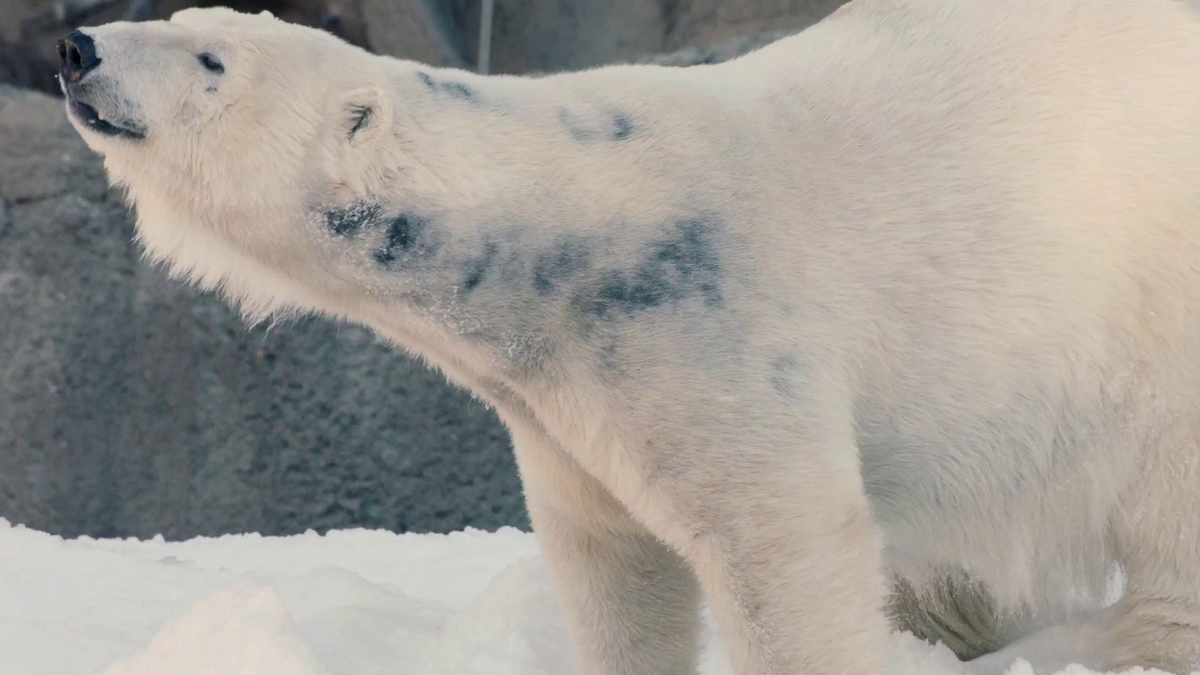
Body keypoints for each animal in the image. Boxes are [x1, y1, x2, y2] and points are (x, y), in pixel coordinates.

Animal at [60, 1, 1200, 672]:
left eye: (210, 58)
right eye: (179, 14)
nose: (77, 45)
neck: (562, 240)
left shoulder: (705, 330)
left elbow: (780, 549)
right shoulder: (565, 405)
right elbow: (612, 564)